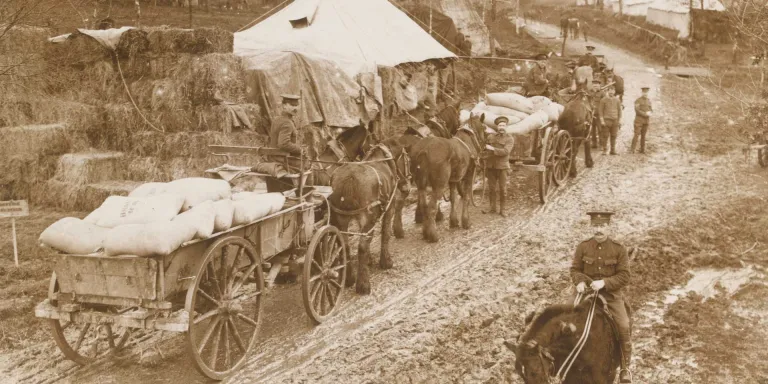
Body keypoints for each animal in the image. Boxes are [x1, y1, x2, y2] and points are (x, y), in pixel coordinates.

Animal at [328, 142, 412, 294]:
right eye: (408, 160)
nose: (407, 188)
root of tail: (350, 178)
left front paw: (369, 260)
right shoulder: (389, 207)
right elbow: (385, 233)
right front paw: (386, 261)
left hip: (341, 218)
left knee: (345, 246)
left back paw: (349, 279)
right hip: (368, 218)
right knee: (361, 246)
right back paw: (363, 284)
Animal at [412, 112, 484, 242]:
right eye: (483, 128)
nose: (483, 146)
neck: (467, 141)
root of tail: (424, 149)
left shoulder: (453, 180)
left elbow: (453, 198)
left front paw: (454, 221)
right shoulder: (469, 175)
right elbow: (466, 197)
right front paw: (465, 221)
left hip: (421, 185)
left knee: (424, 206)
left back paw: (425, 232)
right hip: (439, 186)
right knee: (431, 208)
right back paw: (433, 235)